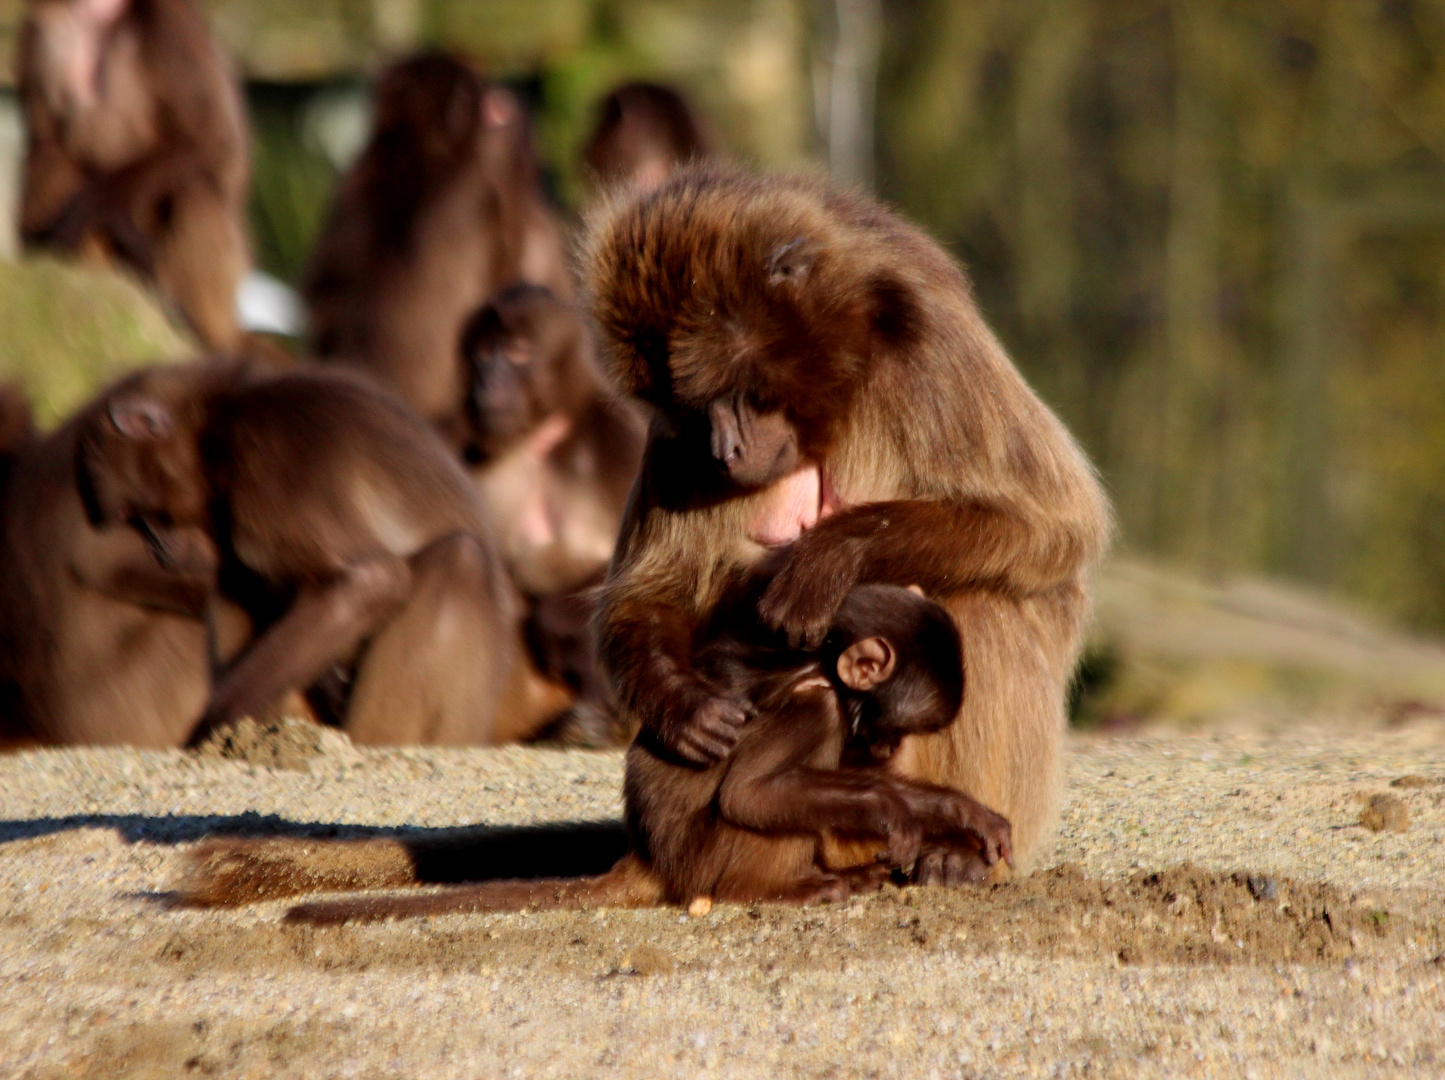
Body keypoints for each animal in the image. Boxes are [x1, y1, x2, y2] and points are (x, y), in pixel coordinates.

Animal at [18, 0, 249, 351]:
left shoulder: (172, 24)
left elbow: (212, 140)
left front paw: (98, 208)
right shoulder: (43, 29)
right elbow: (46, 142)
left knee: (197, 190)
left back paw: (195, 329)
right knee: (53, 160)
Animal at [73, 358, 566, 746]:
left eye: (140, 514)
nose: (158, 543)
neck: (219, 426)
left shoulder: (268, 465)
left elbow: (371, 579)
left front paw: (206, 727)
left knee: (460, 561)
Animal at [580, 164, 1109, 884]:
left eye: (737, 392)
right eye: (687, 408)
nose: (724, 452)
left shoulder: (932, 349)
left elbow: (1053, 525)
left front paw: (827, 559)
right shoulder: (673, 444)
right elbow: (654, 590)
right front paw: (683, 704)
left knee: (980, 602)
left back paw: (951, 853)